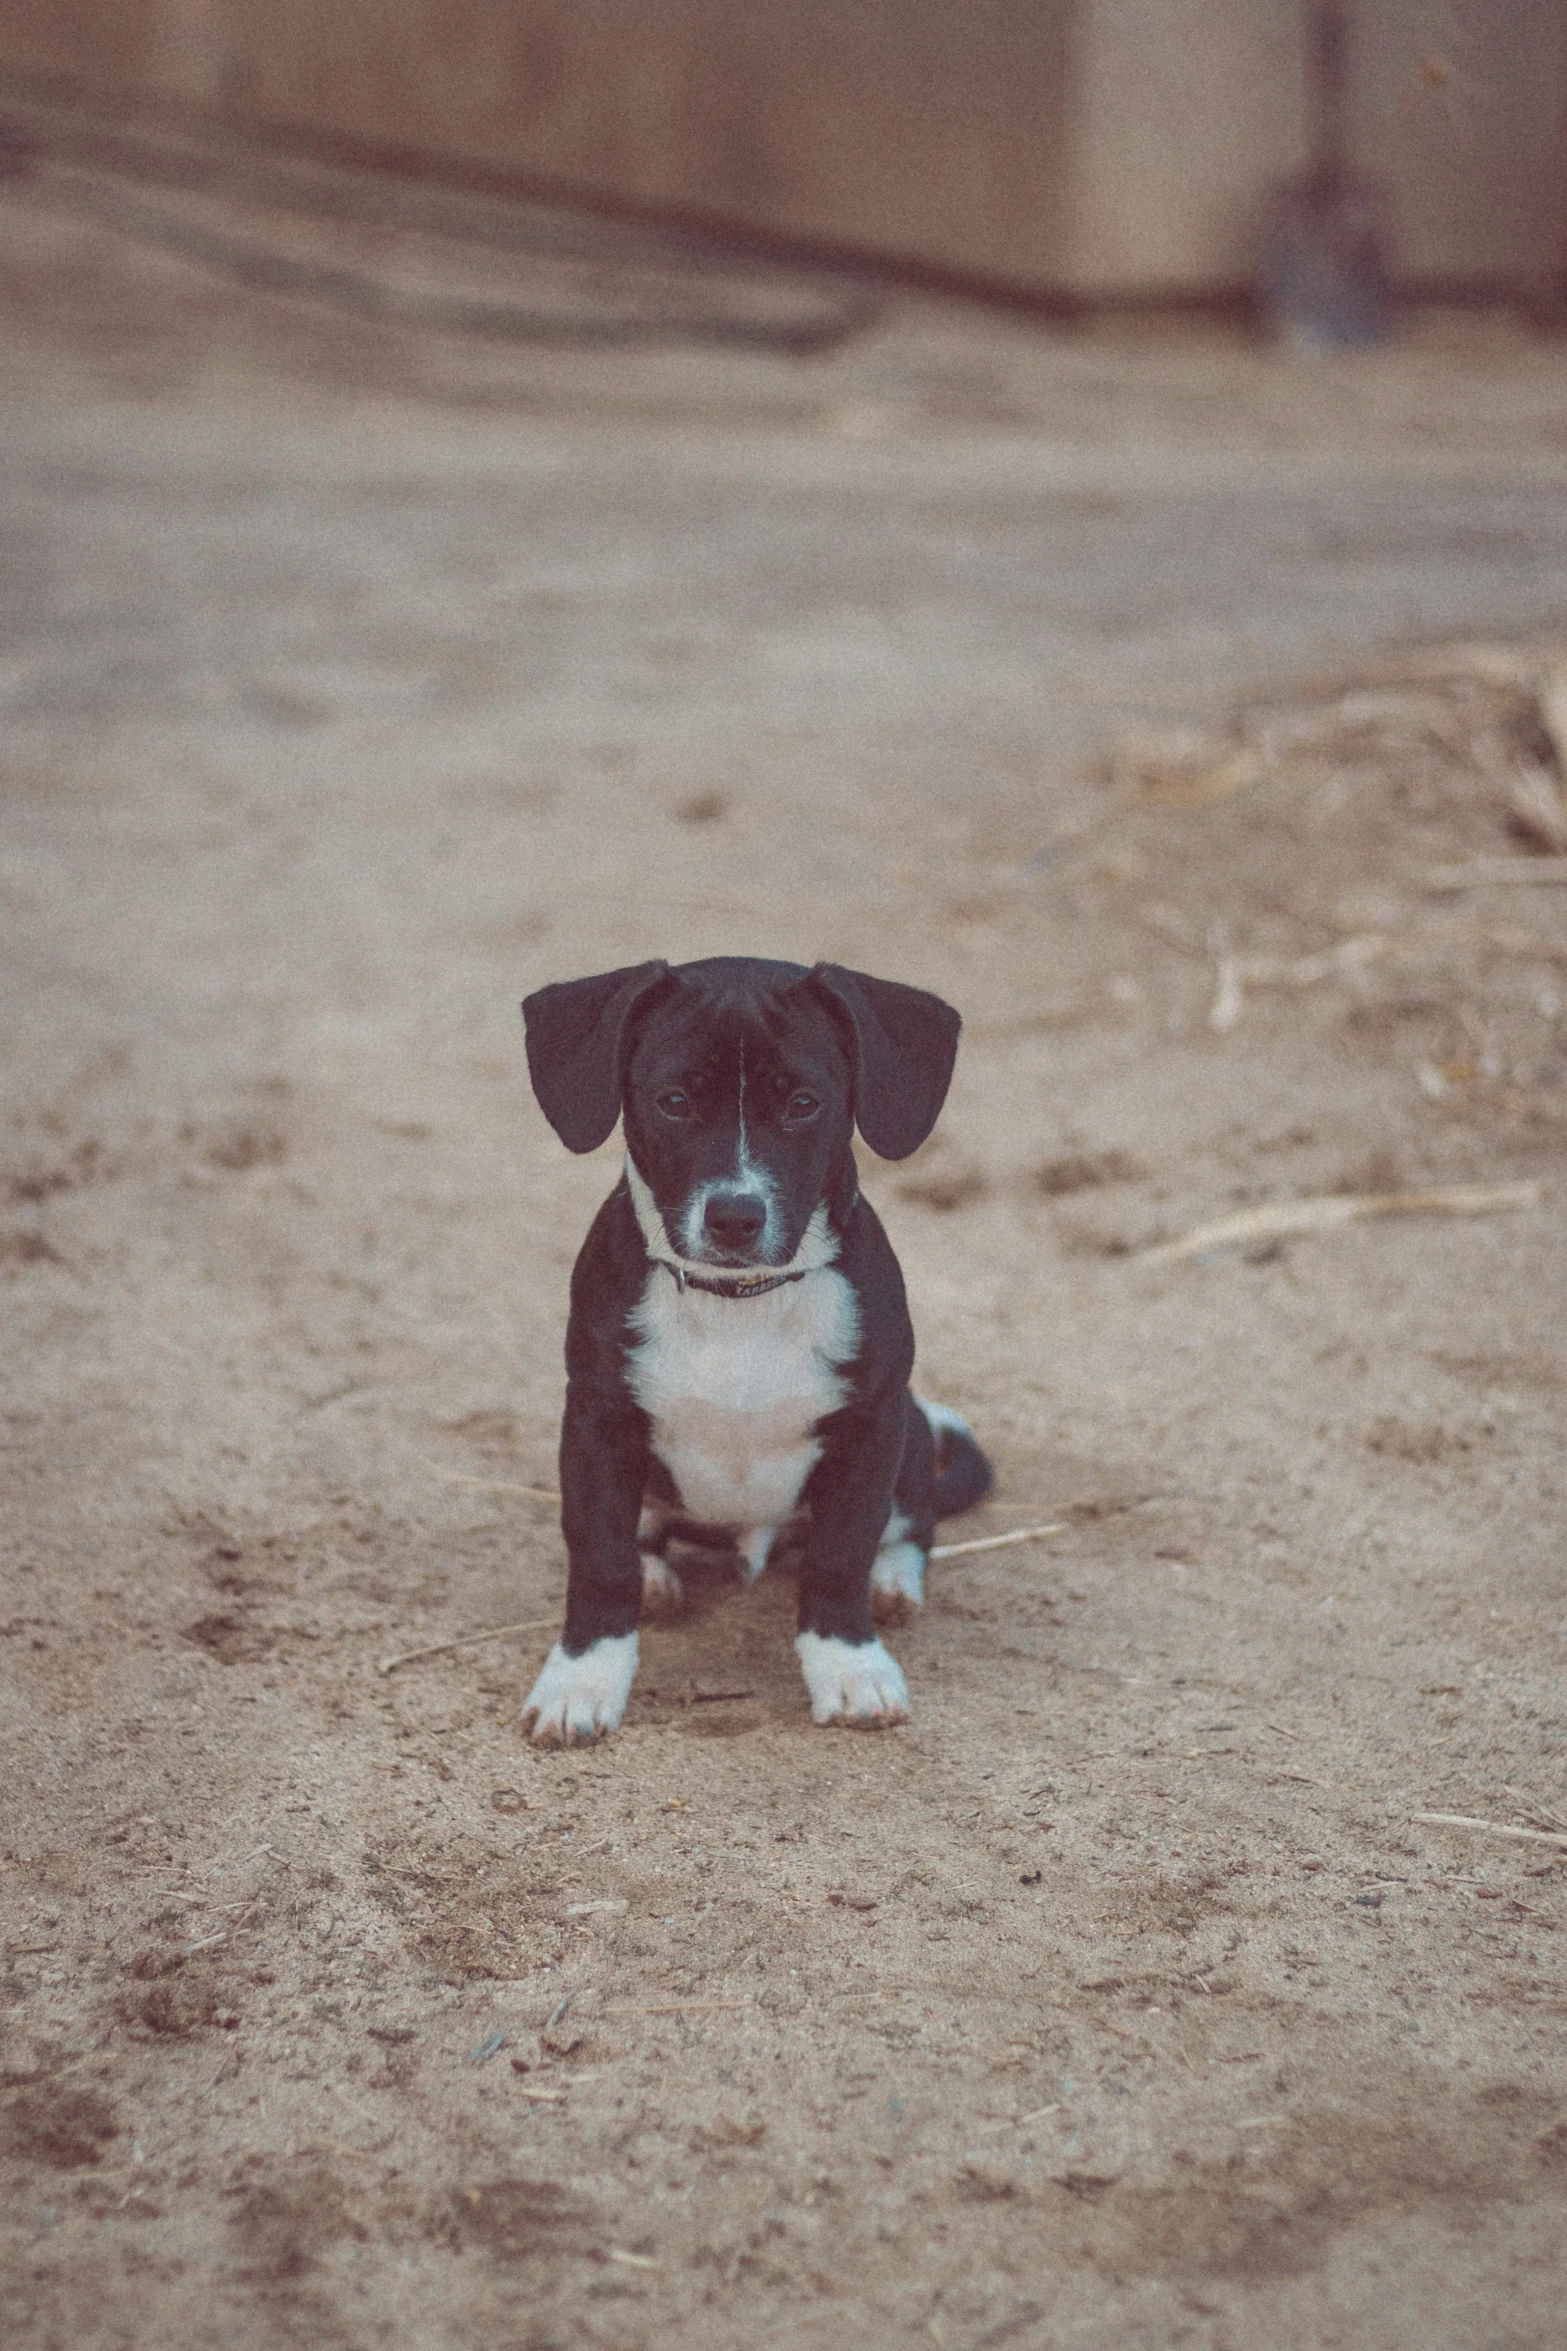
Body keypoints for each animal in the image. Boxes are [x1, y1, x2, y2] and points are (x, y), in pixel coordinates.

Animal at [516, 954, 991, 1749]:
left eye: (803, 1103)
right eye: (673, 1100)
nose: (735, 1216)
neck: (739, 1302)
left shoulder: (870, 1426)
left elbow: (838, 1555)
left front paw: (849, 1665)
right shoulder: (597, 1424)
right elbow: (599, 1558)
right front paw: (581, 1680)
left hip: (911, 1435)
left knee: (911, 1525)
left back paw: (891, 1581)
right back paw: (654, 1579)